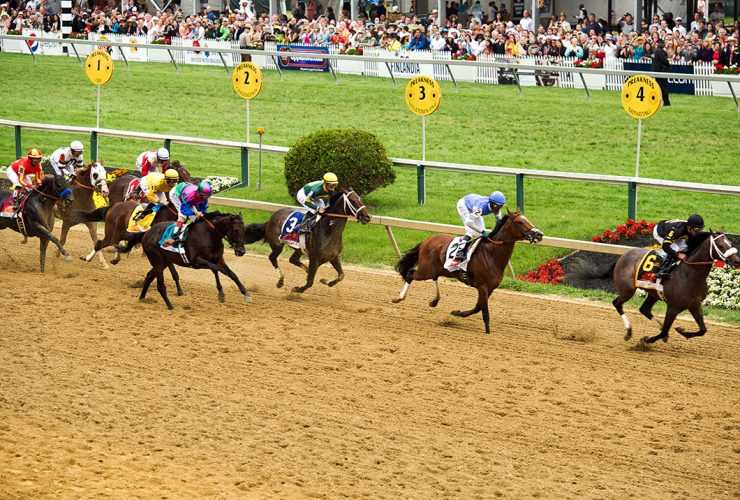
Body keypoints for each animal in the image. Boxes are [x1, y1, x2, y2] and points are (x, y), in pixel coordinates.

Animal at [394, 209, 544, 334]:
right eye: (519, 222)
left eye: (527, 219)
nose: (539, 234)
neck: (492, 254)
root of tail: (427, 239)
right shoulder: (482, 286)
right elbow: (484, 312)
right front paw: (488, 332)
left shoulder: (490, 288)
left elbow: (478, 307)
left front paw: (457, 313)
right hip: (426, 270)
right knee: (410, 274)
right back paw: (398, 298)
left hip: (436, 270)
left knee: (434, 278)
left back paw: (434, 301)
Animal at [608, 230, 736, 344]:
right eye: (720, 245)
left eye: (730, 243)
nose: (736, 261)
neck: (689, 275)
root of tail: (623, 256)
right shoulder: (673, 307)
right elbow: (665, 330)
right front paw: (646, 340)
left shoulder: (695, 304)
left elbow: (703, 330)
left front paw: (682, 331)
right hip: (628, 290)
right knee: (617, 304)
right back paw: (629, 332)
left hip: (653, 294)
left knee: (644, 309)